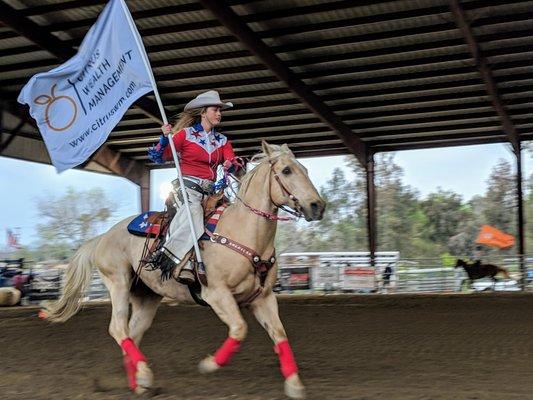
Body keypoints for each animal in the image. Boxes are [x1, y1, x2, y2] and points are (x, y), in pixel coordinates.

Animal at [42, 142, 324, 398]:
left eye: (305, 169)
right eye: (286, 170)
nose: (317, 206)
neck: (244, 233)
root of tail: (102, 237)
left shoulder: (263, 298)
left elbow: (279, 334)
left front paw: (295, 385)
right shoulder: (217, 293)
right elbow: (239, 329)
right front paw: (209, 365)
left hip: (146, 296)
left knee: (132, 333)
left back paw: (139, 383)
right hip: (118, 282)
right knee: (118, 328)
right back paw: (145, 375)